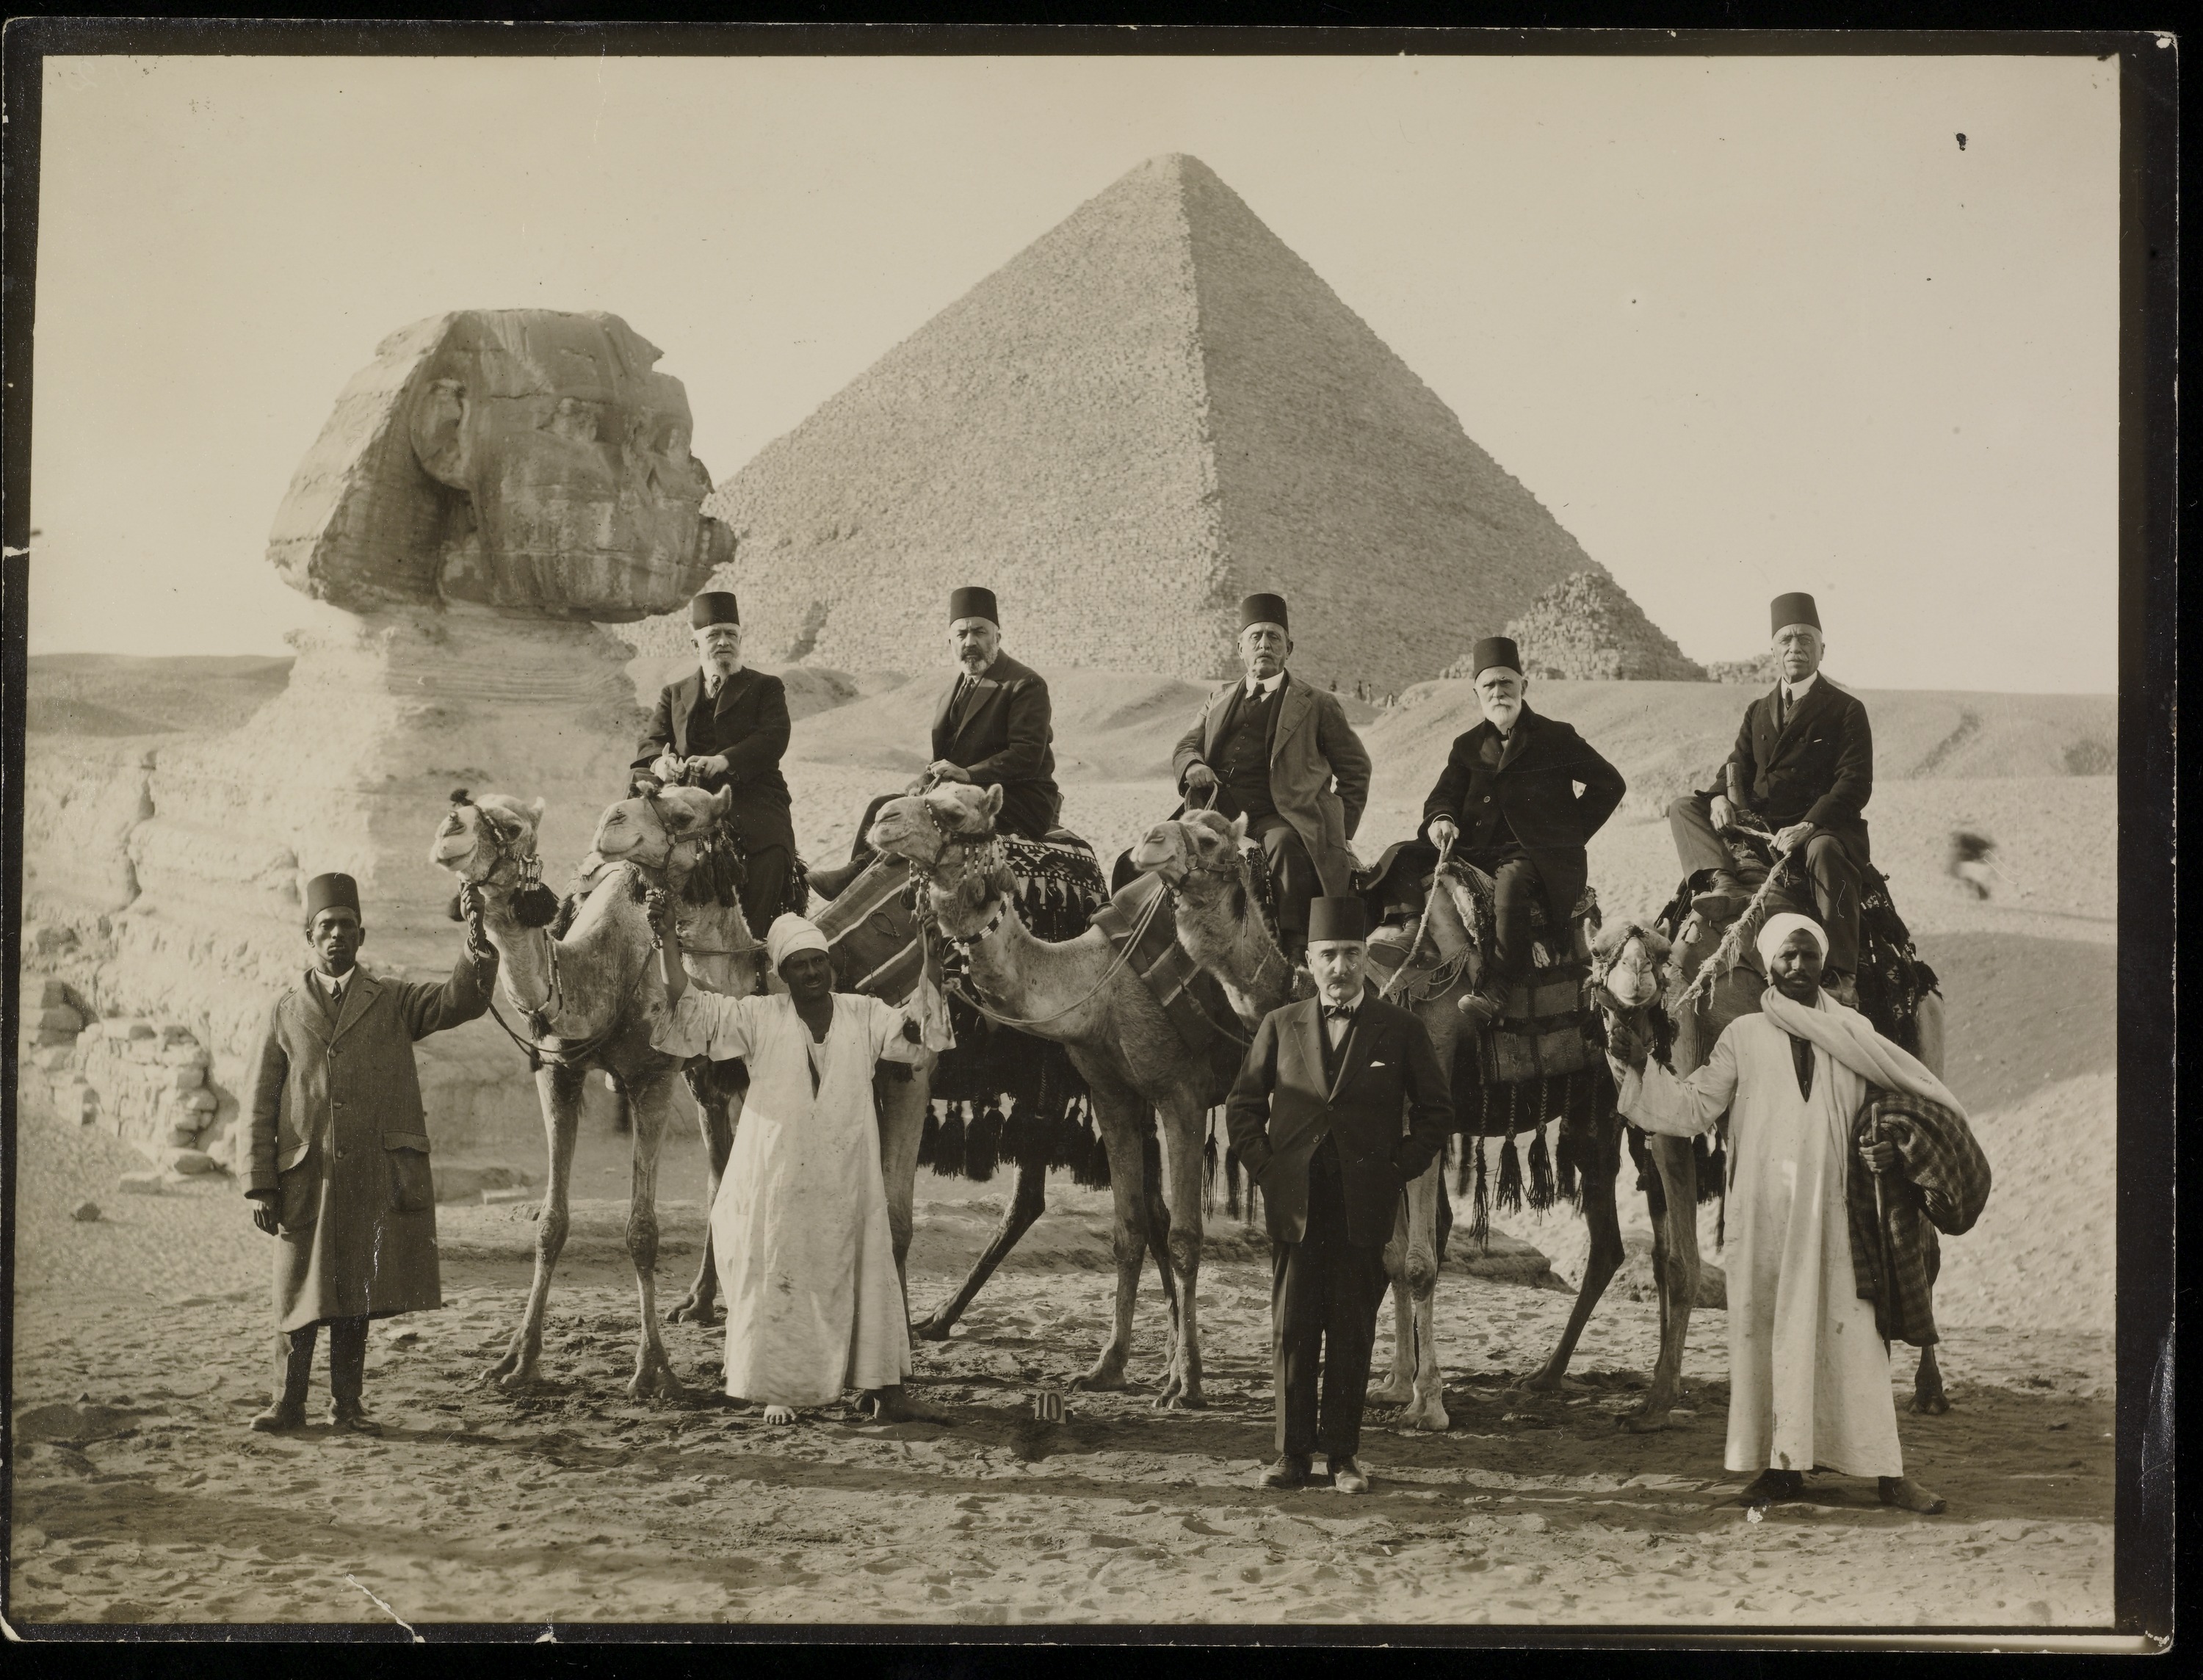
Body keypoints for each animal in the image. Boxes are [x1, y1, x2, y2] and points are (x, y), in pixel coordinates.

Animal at [429, 784, 758, 1397]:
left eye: (513, 827)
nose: (448, 831)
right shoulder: (559, 1071)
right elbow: (550, 1225)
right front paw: (517, 1363)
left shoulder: (653, 1076)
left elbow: (642, 1231)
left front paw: (653, 1371)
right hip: (708, 1076)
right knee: (721, 1174)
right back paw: (700, 1304)